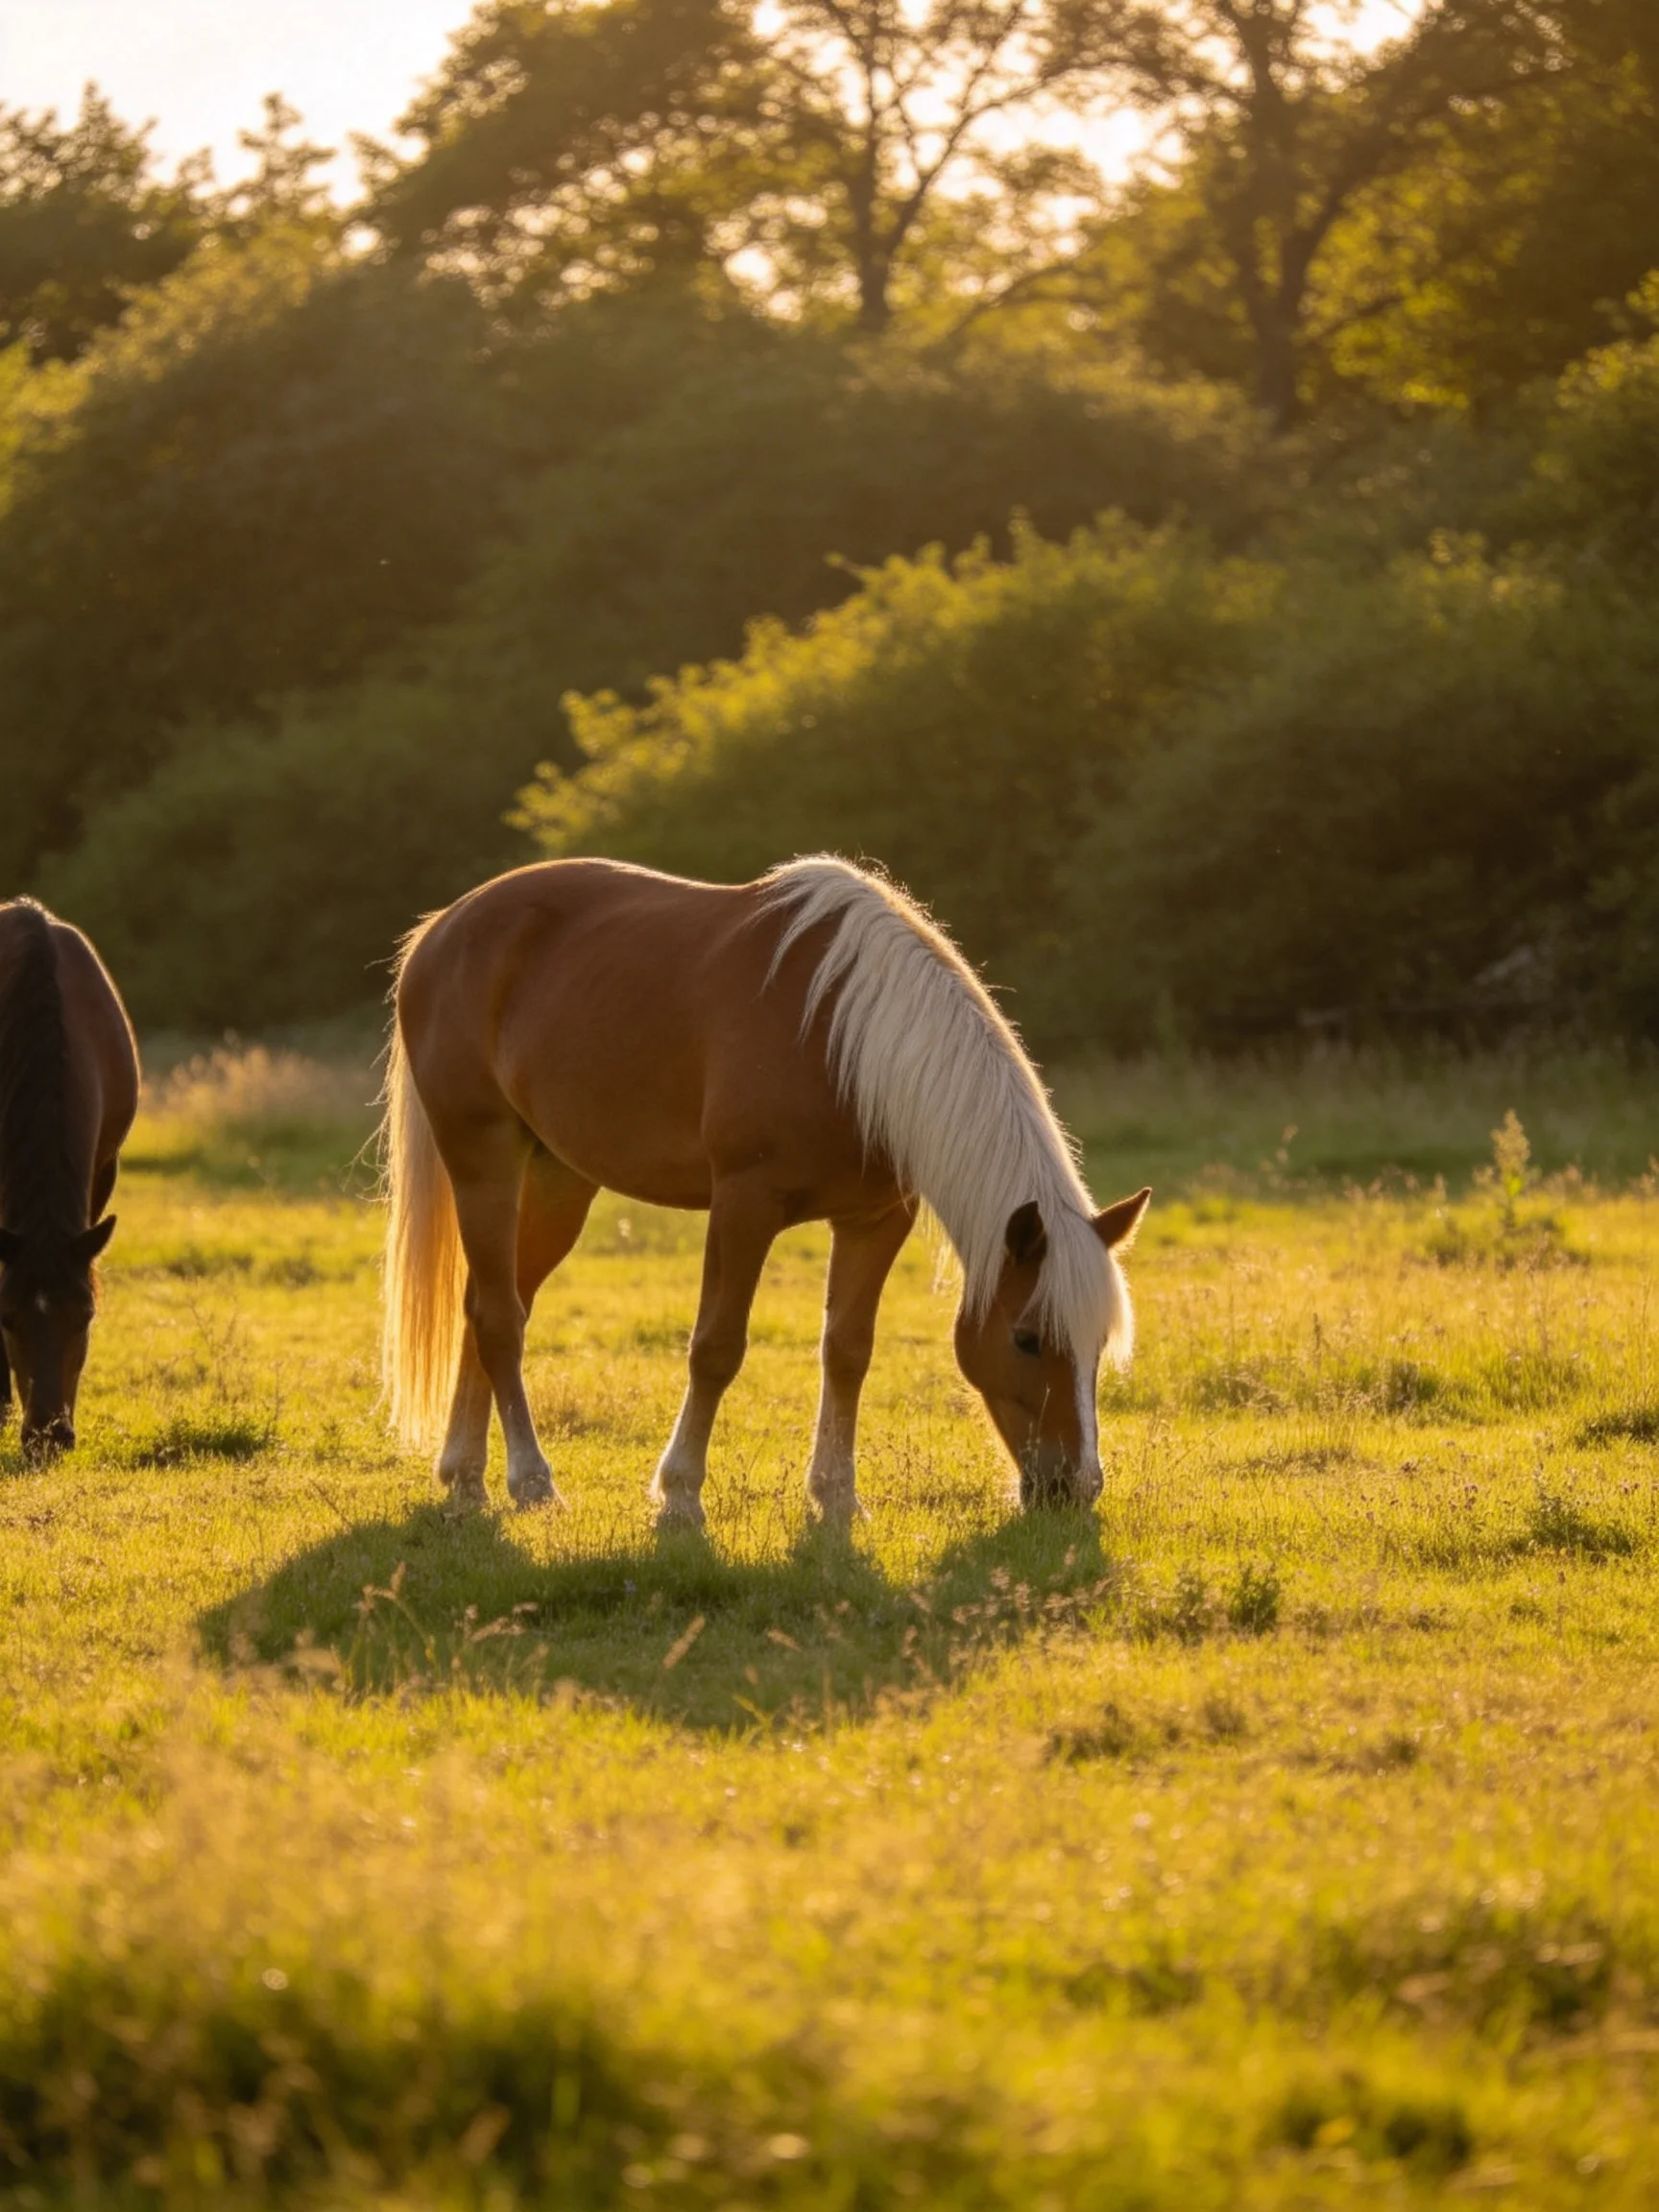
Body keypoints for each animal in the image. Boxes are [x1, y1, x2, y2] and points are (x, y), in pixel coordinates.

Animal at [381, 856, 1149, 1525]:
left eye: (1098, 1344)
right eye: (1027, 1339)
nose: (1074, 1489)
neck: (845, 1041)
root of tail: (442, 929)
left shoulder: (876, 1220)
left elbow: (848, 1350)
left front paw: (837, 1498)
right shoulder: (744, 1206)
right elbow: (716, 1348)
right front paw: (681, 1496)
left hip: (559, 1180)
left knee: (490, 1303)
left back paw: (465, 1475)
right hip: (483, 1160)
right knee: (500, 1319)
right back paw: (529, 1481)